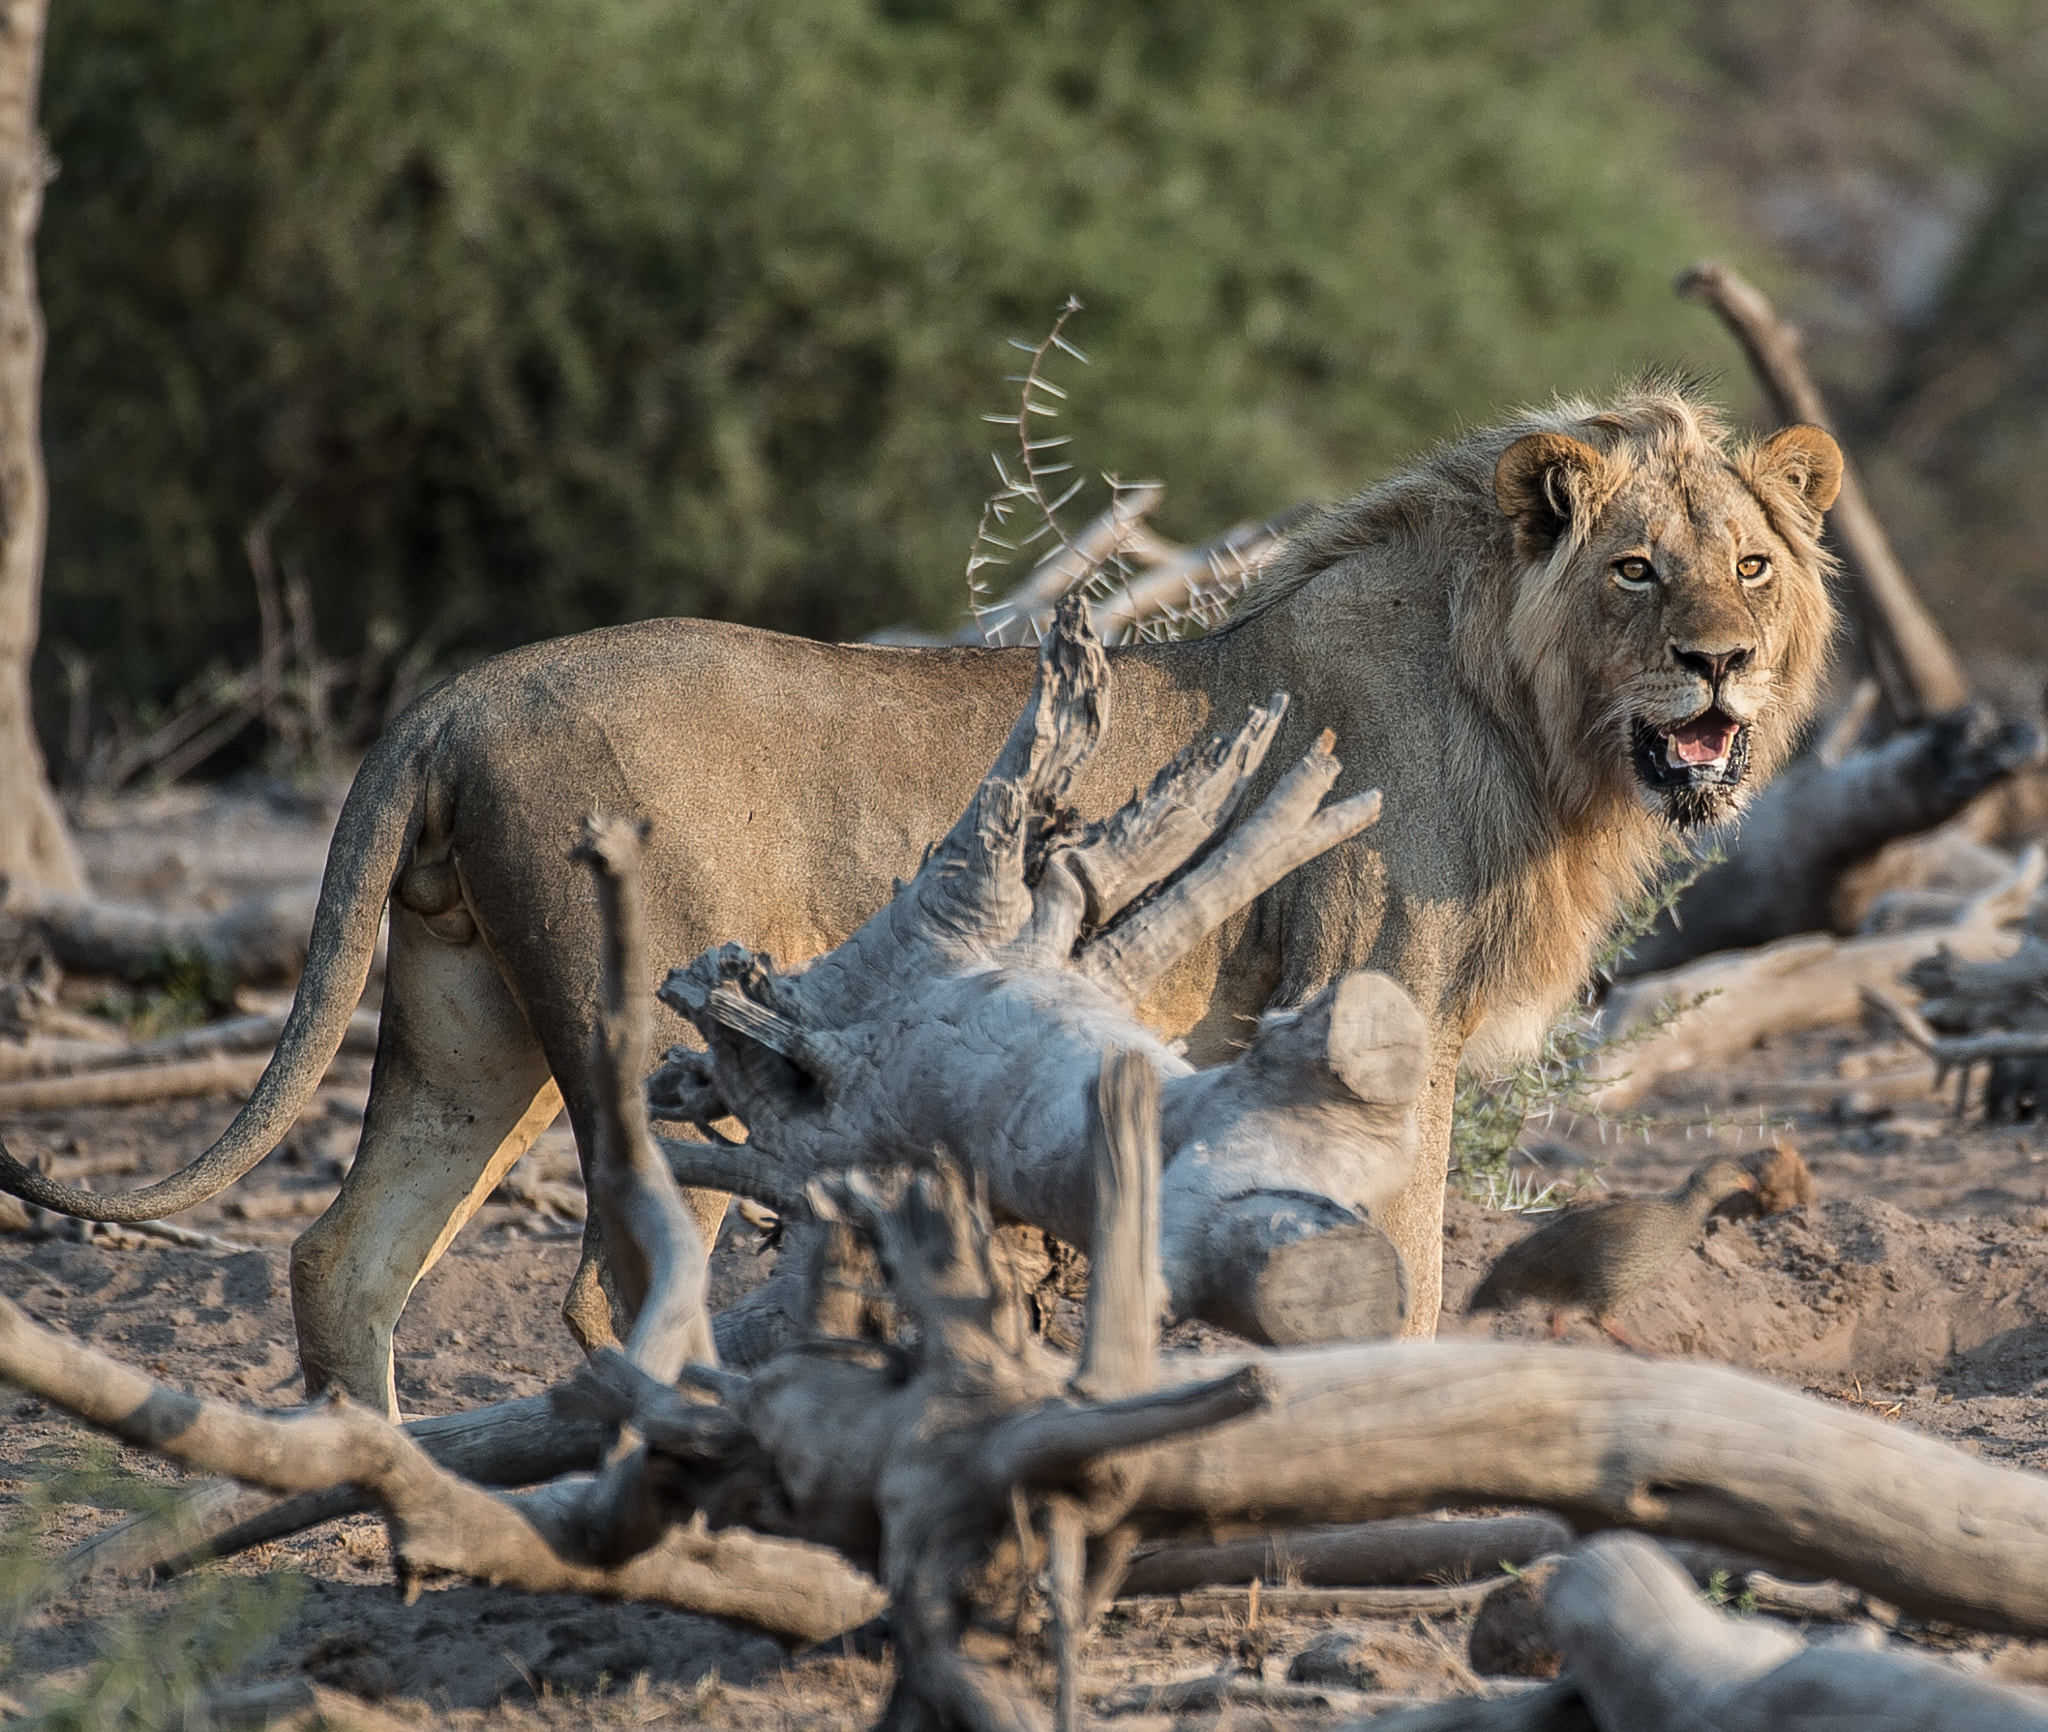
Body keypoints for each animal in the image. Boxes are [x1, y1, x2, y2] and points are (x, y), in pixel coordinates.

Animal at [0, 383, 1841, 1416]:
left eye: (1750, 563)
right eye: (1635, 570)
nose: (1721, 665)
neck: (1539, 725)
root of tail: (449, 700)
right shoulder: (1365, 1016)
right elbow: (1401, 1247)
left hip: (468, 1026)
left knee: (344, 1258)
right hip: (646, 1027)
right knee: (610, 1286)